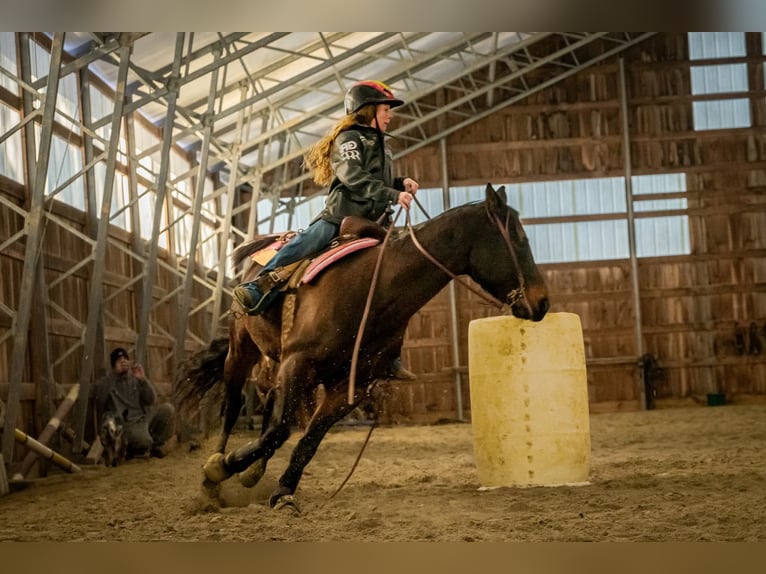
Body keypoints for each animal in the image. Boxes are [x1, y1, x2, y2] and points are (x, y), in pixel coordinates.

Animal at [174, 183, 548, 508]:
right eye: (519, 239)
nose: (542, 302)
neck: (377, 284)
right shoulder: (299, 361)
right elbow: (279, 430)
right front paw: (219, 469)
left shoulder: (351, 387)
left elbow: (307, 440)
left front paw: (282, 491)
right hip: (243, 346)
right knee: (234, 404)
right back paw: (215, 471)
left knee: (267, 403)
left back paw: (252, 472)